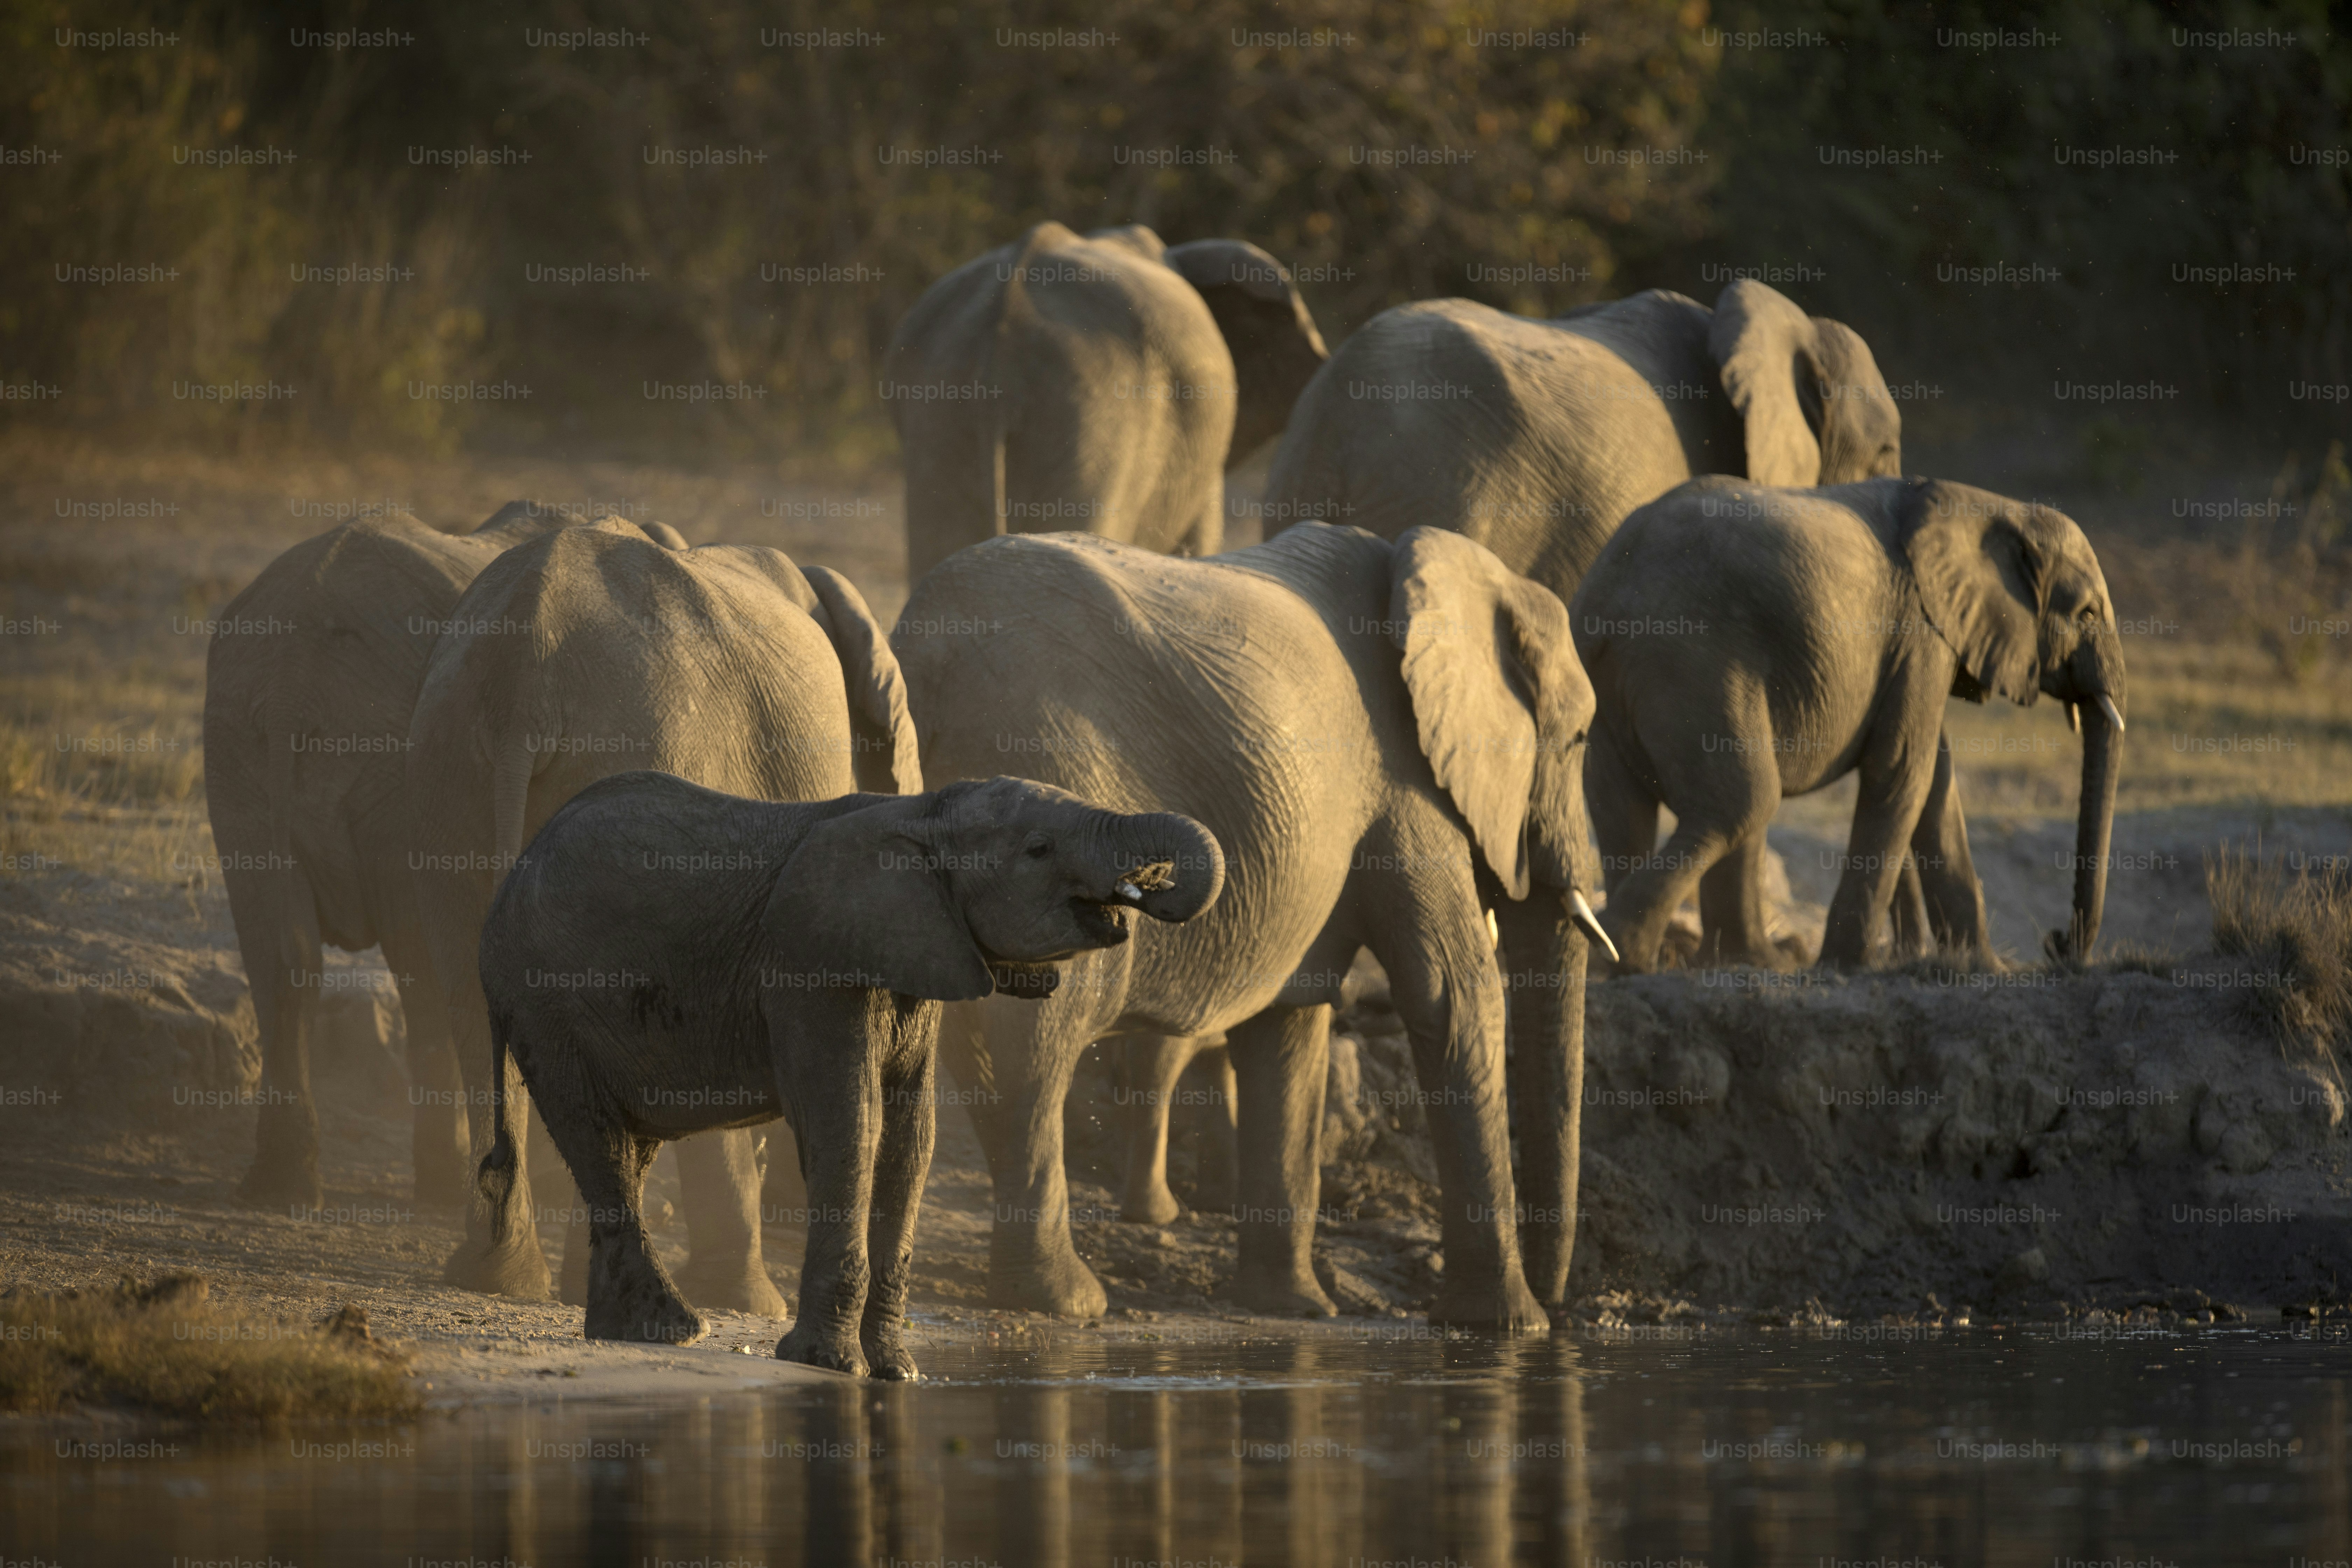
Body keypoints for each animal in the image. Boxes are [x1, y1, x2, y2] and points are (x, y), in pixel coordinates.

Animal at [201, 500, 685, 1211]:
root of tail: (294, 667)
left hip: (240, 744)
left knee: (281, 955)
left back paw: (278, 1185)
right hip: (384, 755)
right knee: (417, 971)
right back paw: (441, 1184)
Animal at [474, 771, 1223, 1374]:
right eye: (1039, 849)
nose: (1149, 891)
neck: (922, 813)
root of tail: (506, 887)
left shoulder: (917, 957)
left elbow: (910, 1139)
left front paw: (897, 1372)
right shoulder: (813, 968)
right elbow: (850, 1120)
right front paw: (828, 1365)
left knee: (629, 1147)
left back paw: (630, 1332)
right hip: (546, 1000)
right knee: (597, 1136)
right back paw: (676, 1330)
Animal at [892, 524, 1616, 1328]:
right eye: (1580, 739)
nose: (1564, 1298)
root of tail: (923, 656)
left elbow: (1289, 1024)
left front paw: (1294, 1308)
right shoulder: (1404, 785)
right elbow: (1454, 996)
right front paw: (1512, 1327)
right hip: (1041, 768)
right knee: (1032, 1041)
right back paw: (1071, 1301)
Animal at [1572, 476, 2127, 973]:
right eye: (2088, 613)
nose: (2057, 944)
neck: (1990, 506)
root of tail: (1607, 591)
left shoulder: (1925, 640)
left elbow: (1937, 782)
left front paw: (1984, 971)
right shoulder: (1920, 633)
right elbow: (1903, 770)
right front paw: (1848, 967)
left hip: (1611, 681)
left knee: (1624, 807)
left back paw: (1733, 963)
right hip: (1693, 660)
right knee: (1741, 803)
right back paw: (1620, 957)